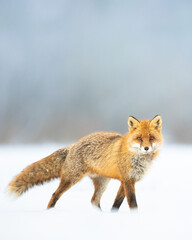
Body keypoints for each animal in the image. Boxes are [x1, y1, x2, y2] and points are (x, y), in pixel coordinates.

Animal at [8, 115, 163, 211]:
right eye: (139, 138)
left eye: (151, 138)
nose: (146, 148)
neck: (138, 158)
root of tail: (73, 145)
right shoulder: (127, 180)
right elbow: (132, 203)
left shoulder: (128, 180)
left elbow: (117, 204)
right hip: (71, 179)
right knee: (55, 195)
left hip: (102, 182)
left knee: (94, 201)